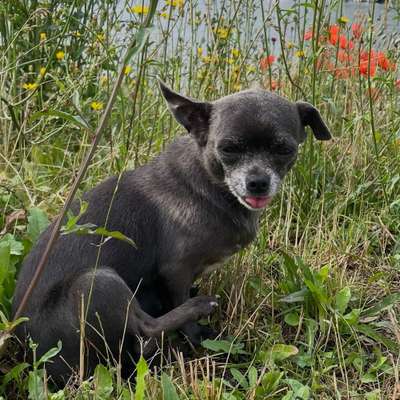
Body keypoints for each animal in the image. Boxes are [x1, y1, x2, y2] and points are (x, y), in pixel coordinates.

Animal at [12, 81, 332, 382]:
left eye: (284, 149)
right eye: (228, 149)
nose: (257, 182)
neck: (211, 185)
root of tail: (37, 360)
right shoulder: (175, 270)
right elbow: (178, 302)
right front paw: (198, 334)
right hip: (96, 281)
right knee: (147, 326)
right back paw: (199, 306)